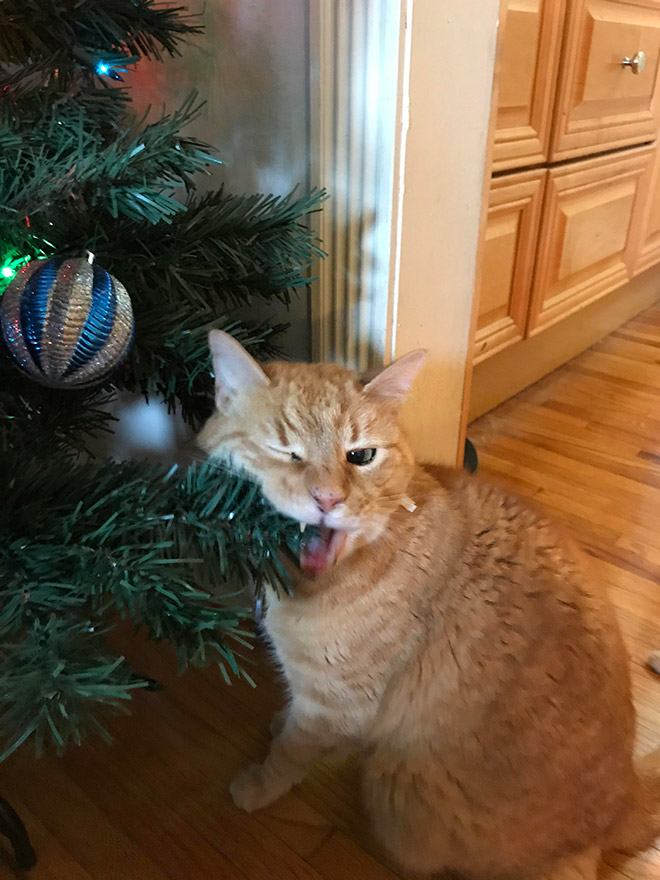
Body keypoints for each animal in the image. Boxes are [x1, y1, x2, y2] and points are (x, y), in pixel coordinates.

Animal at [199, 332, 656, 880]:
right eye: (284, 452)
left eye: (361, 456)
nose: (328, 499)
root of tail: (628, 798)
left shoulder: (336, 704)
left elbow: (291, 750)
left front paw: (260, 782)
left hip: (398, 790)